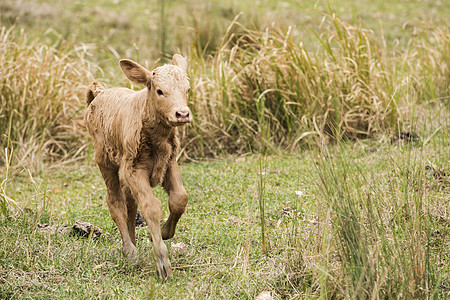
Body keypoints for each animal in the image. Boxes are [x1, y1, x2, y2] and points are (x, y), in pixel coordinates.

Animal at [85, 54, 192, 278]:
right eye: (159, 90)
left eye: (187, 89)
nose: (182, 114)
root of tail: (100, 92)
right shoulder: (133, 169)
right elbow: (151, 207)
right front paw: (162, 261)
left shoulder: (169, 162)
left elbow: (179, 198)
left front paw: (163, 233)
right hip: (105, 162)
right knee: (115, 202)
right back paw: (130, 251)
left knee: (130, 204)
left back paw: (132, 244)